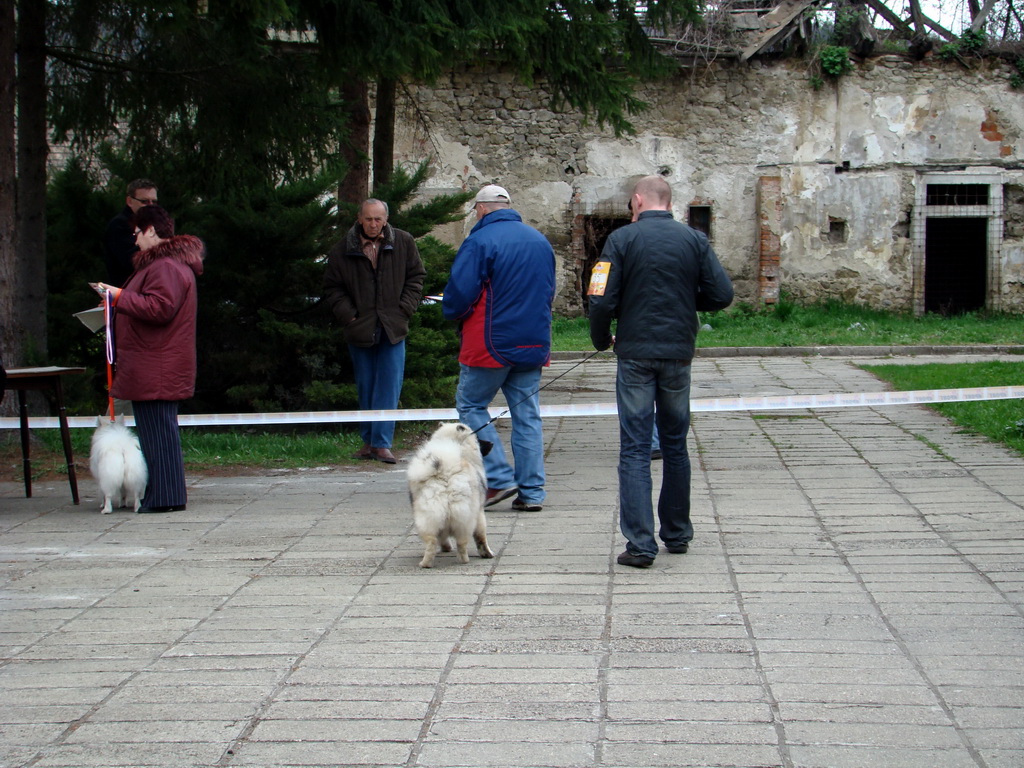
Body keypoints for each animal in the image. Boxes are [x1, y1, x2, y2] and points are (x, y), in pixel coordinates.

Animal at [407, 423, 495, 569]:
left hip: (429, 518)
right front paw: (487, 553)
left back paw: (428, 563)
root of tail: (445, 474)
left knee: (434, 541)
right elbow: (481, 536)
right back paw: (461, 560)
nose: (491, 443)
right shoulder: (479, 513)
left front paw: (446, 547)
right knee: (459, 542)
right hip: (464, 518)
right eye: (477, 438)